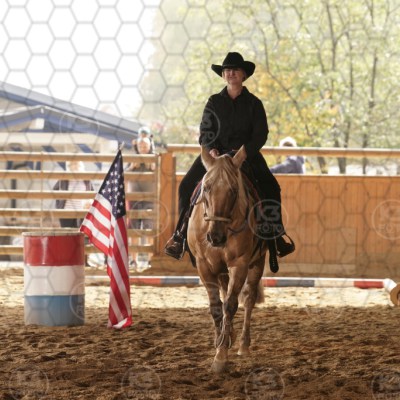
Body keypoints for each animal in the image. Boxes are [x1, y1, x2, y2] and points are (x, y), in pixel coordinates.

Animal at [187, 145, 267, 373]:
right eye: (206, 188)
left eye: (233, 190)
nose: (215, 237)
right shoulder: (204, 265)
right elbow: (216, 306)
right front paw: (219, 342)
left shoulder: (239, 265)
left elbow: (231, 305)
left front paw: (221, 357)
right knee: (224, 294)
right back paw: (228, 334)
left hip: (257, 263)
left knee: (248, 299)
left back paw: (242, 344)